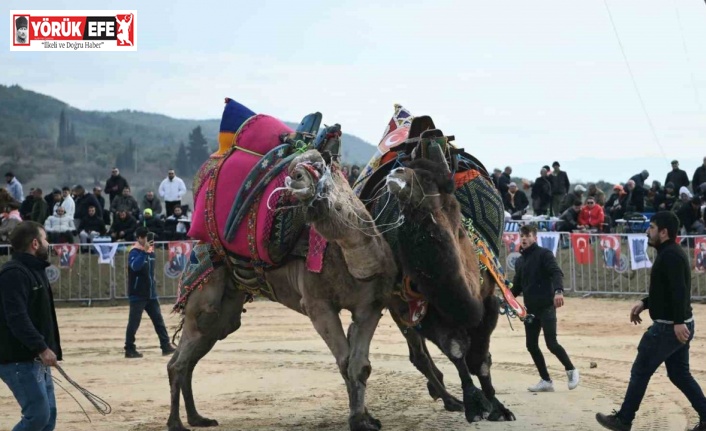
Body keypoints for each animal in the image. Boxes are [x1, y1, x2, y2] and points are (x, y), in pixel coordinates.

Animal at [166, 147, 396, 430]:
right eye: (295, 169)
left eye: (316, 168)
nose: (295, 179)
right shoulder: (318, 305)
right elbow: (344, 363)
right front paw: (356, 419)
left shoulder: (370, 307)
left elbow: (360, 366)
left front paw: (367, 418)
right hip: (203, 295)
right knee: (181, 359)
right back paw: (176, 422)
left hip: (226, 309)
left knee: (193, 353)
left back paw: (198, 418)